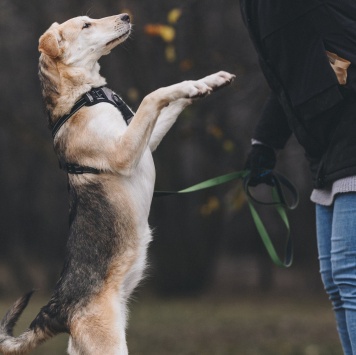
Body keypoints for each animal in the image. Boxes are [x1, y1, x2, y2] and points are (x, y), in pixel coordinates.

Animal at [0, 12, 235, 354]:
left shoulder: (143, 143)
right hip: (109, 344)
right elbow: (155, 94)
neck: (84, 96)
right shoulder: (125, 151)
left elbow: (170, 105)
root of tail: (58, 309)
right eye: (86, 25)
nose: (126, 16)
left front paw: (206, 83)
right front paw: (191, 85)